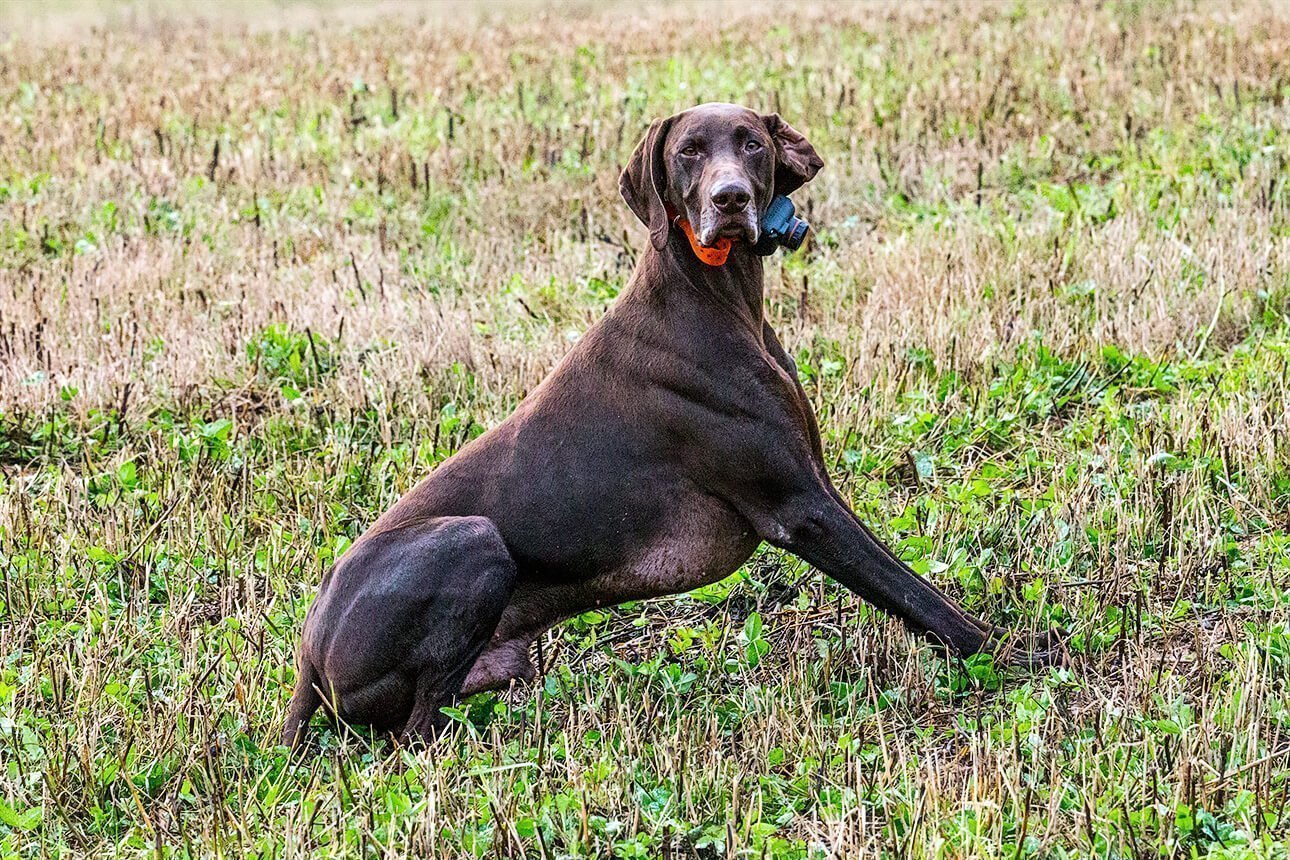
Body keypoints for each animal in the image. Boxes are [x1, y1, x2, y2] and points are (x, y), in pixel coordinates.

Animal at [282, 101, 1057, 747]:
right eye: (689, 151)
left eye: (751, 143)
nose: (730, 199)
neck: (713, 297)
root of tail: (309, 658)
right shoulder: (798, 507)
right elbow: (916, 595)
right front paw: (1017, 654)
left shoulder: (815, 481)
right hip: (473, 541)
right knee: (412, 739)